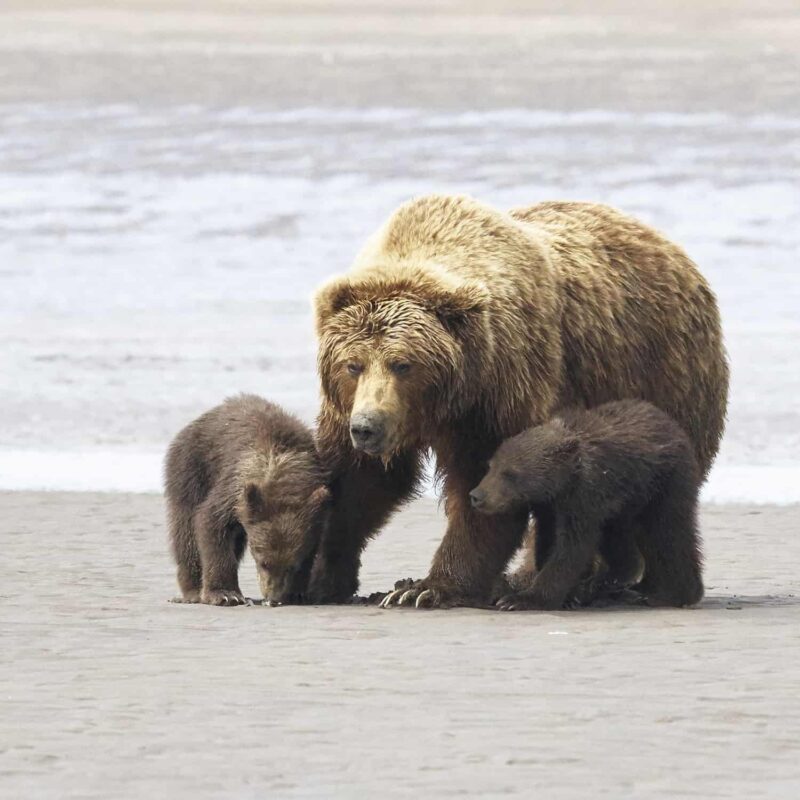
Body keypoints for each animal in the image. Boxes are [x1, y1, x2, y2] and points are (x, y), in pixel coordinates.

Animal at [164, 394, 330, 606]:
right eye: (264, 562)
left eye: (290, 566)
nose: (273, 597)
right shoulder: (234, 489)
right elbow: (211, 524)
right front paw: (225, 594)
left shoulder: (316, 509)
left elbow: (311, 547)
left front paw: (297, 592)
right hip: (191, 467)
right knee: (186, 529)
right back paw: (193, 590)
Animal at [468, 399, 704, 610]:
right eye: (491, 466)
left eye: (510, 473)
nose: (477, 495)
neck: (562, 481)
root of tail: (671, 423)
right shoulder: (548, 507)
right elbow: (547, 540)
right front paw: (568, 595)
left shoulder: (583, 498)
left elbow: (571, 548)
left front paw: (519, 600)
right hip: (622, 504)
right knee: (619, 538)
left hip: (663, 483)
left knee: (670, 533)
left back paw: (673, 593)